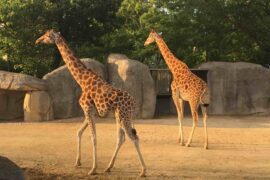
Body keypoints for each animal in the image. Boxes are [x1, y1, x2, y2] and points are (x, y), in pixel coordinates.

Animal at [35, 29, 147, 176]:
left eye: (48, 35)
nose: (37, 40)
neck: (82, 81)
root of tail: (133, 103)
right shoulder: (90, 112)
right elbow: (79, 132)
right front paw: (78, 162)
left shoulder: (87, 109)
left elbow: (93, 138)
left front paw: (93, 169)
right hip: (119, 116)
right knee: (121, 138)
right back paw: (109, 167)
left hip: (123, 116)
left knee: (133, 138)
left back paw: (143, 171)